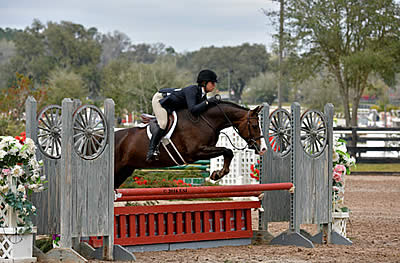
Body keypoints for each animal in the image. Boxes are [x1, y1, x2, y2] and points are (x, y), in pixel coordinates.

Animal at [114, 100, 266, 188]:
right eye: (254, 126)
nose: (263, 148)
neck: (205, 120)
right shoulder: (196, 152)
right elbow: (227, 150)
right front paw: (217, 174)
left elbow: (228, 152)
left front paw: (218, 174)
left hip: (125, 170)